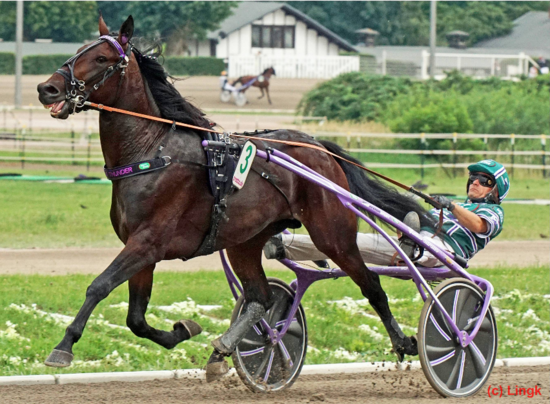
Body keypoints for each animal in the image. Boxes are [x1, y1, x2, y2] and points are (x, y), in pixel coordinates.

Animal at [36, 15, 434, 380]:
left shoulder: (146, 243)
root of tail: (317, 146)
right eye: (77, 50)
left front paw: (63, 346)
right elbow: (136, 318)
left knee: (372, 286)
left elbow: (99, 286)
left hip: (332, 234)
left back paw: (406, 341)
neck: (153, 151)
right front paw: (183, 329)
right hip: (245, 241)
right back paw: (228, 347)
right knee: (261, 297)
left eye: (101, 58)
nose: (46, 88)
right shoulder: (140, 249)